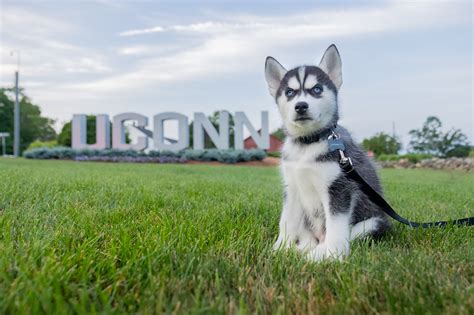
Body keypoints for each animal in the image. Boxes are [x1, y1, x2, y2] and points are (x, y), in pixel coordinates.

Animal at [264, 44, 390, 262]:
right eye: (289, 92)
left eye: (317, 89)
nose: (301, 106)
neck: (307, 144)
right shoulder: (292, 188)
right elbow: (286, 221)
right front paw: (280, 249)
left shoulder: (339, 186)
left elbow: (336, 225)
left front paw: (332, 254)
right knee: (307, 238)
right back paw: (301, 249)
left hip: (375, 222)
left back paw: (319, 252)